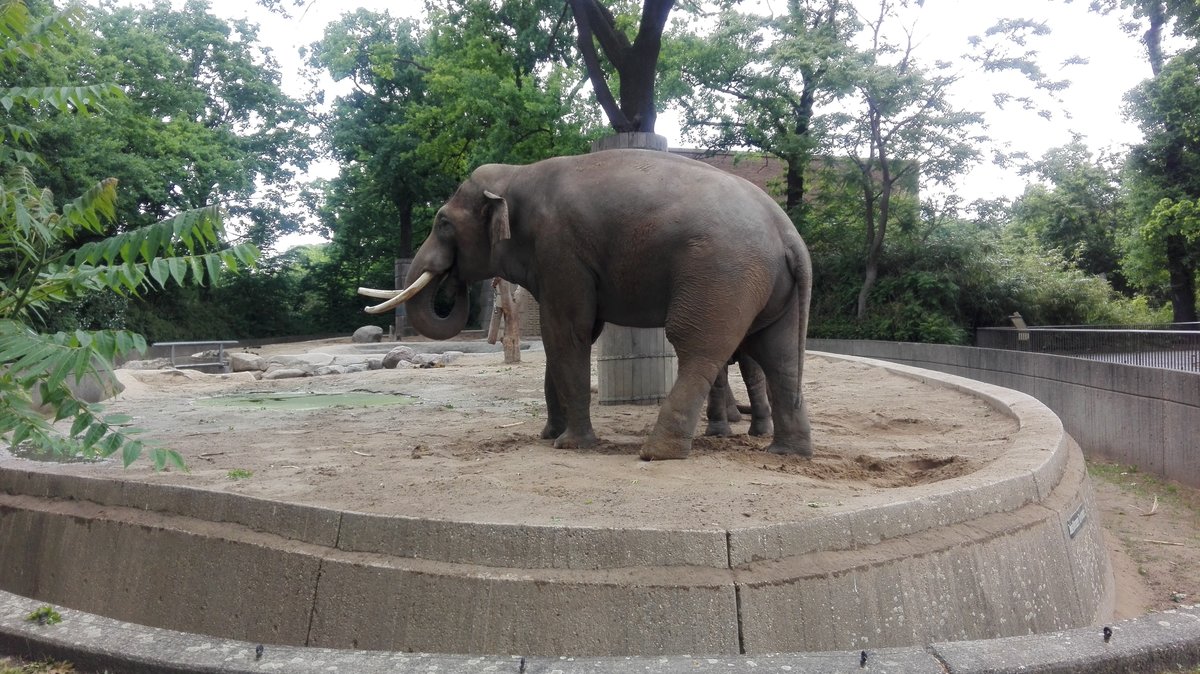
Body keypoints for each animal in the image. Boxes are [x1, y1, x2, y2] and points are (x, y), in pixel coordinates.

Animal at [355, 148, 811, 458]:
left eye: (443, 223)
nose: (452, 284)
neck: (518, 173)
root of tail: (790, 236)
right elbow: (564, 340)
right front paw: (548, 436)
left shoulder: (561, 249)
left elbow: (567, 333)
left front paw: (569, 444)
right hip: (770, 288)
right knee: (780, 356)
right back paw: (787, 453)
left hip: (722, 274)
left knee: (698, 347)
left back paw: (657, 452)